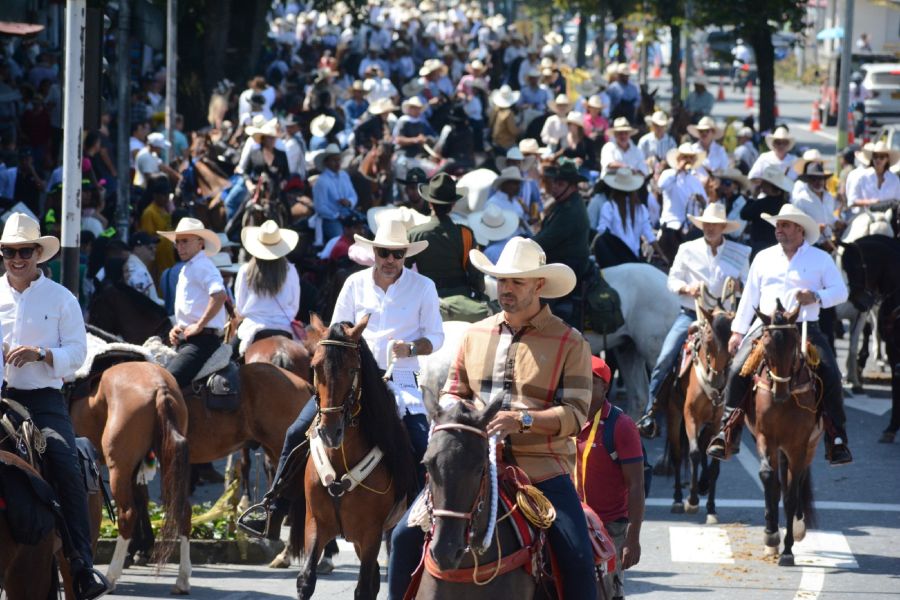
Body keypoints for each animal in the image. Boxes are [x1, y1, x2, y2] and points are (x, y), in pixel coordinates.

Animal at [292, 316, 418, 596]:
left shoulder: (370, 533)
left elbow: (363, 589)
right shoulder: (316, 523)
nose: (330, 431)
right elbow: (306, 579)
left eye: (352, 370)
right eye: (315, 367)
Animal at [740, 302, 820, 564]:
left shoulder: (798, 446)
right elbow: (769, 480)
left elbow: (792, 494)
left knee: (798, 480)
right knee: (777, 481)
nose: (781, 393)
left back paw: (798, 526)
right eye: (766, 345)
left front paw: (787, 549)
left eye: (794, 343)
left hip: (809, 447)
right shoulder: (766, 438)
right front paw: (771, 536)